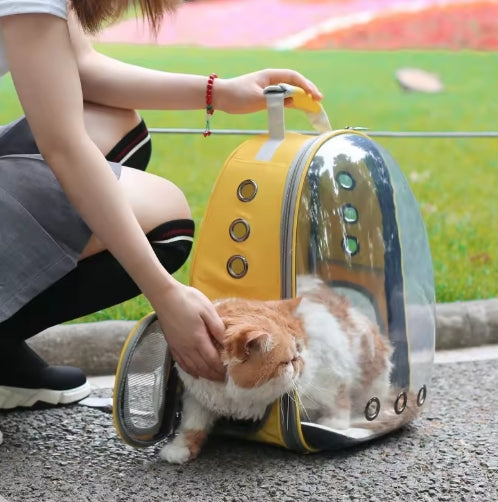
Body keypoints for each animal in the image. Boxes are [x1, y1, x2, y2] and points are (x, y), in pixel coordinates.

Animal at [160, 276, 392, 464]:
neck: (233, 396)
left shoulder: (331, 368)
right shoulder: (198, 397)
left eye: (299, 350)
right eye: (287, 362)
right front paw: (180, 448)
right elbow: (192, 424)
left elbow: (337, 397)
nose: (300, 363)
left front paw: (334, 423)